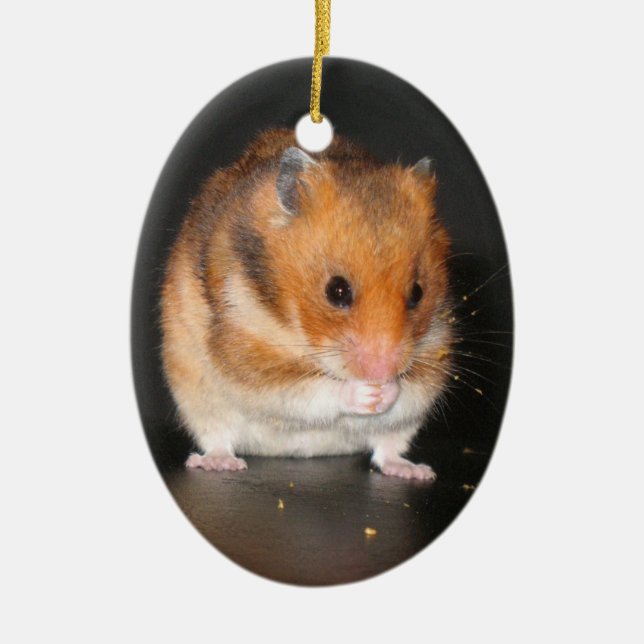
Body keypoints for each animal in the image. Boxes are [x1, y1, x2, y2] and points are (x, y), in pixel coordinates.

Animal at [160, 128, 452, 480]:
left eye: (418, 293)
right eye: (337, 291)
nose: (381, 373)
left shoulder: (433, 354)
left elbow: (410, 389)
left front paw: (385, 390)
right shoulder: (250, 353)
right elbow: (316, 389)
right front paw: (368, 392)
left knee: (387, 450)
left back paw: (417, 471)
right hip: (199, 398)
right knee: (218, 438)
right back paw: (220, 463)